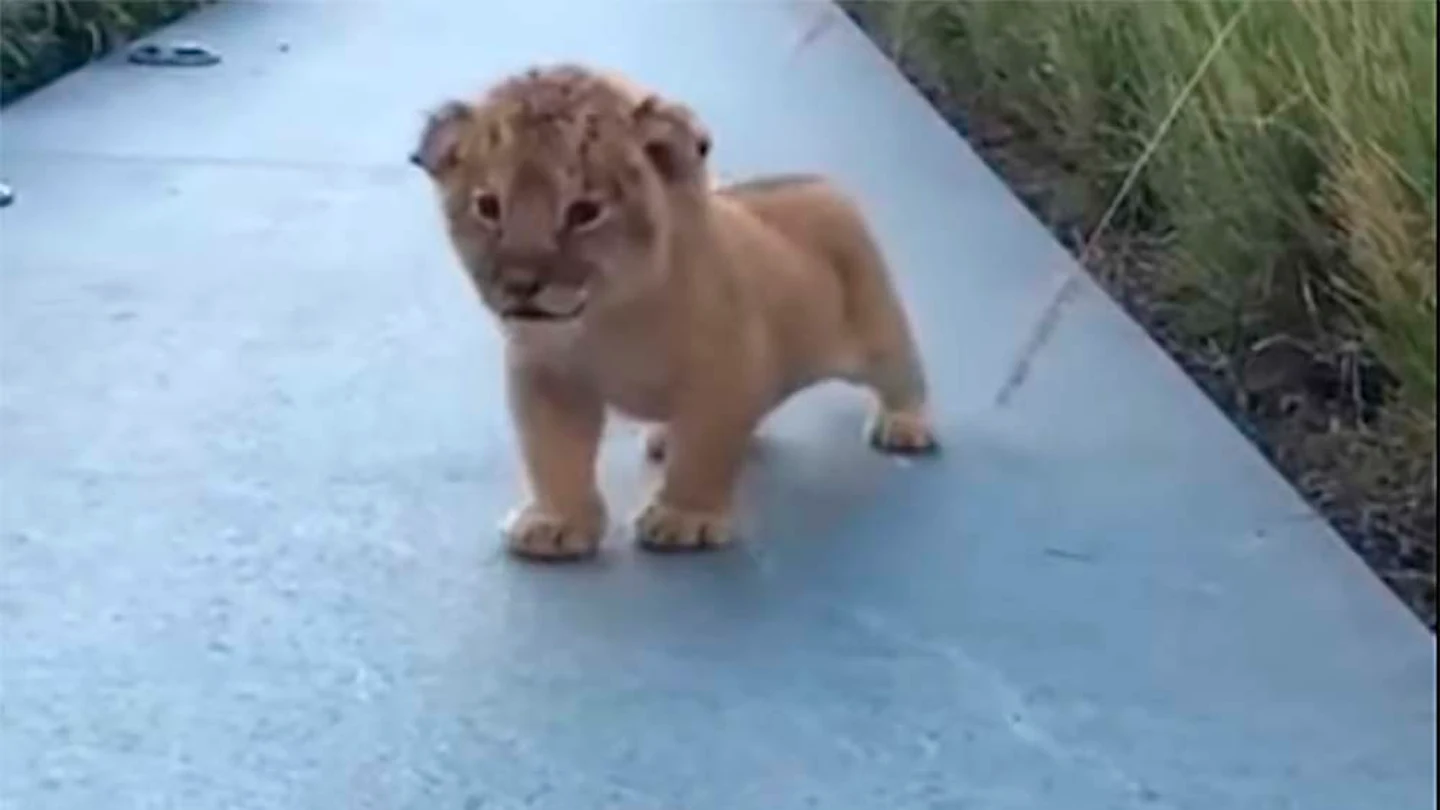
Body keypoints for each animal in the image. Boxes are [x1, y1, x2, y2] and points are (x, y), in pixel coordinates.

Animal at [410, 64, 937, 560]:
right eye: (488, 207)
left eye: (584, 212)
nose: (520, 286)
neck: (608, 319)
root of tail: (815, 180)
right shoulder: (547, 378)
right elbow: (553, 454)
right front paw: (556, 524)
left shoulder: (725, 373)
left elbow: (703, 451)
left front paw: (684, 520)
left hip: (877, 323)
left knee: (903, 373)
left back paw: (905, 425)